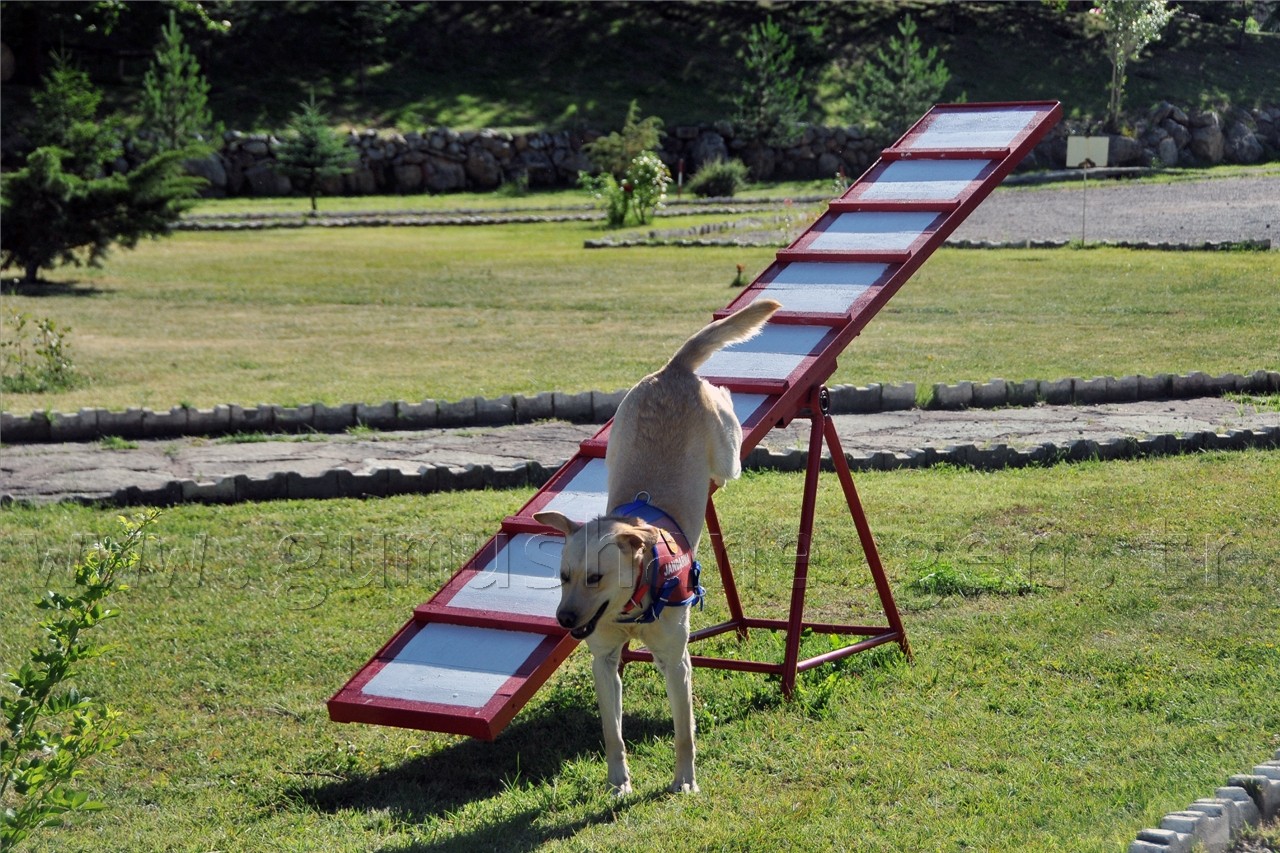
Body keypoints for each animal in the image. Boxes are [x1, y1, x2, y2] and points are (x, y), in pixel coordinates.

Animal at [534, 297, 780, 795]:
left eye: (596, 577)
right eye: (563, 578)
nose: (564, 619)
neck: (631, 605)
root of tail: (673, 369)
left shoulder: (676, 660)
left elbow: (684, 731)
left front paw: (684, 781)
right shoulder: (604, 660)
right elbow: (612, 732)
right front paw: (618, 783)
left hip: (727, 457)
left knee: (727, 418)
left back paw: (727, 392)